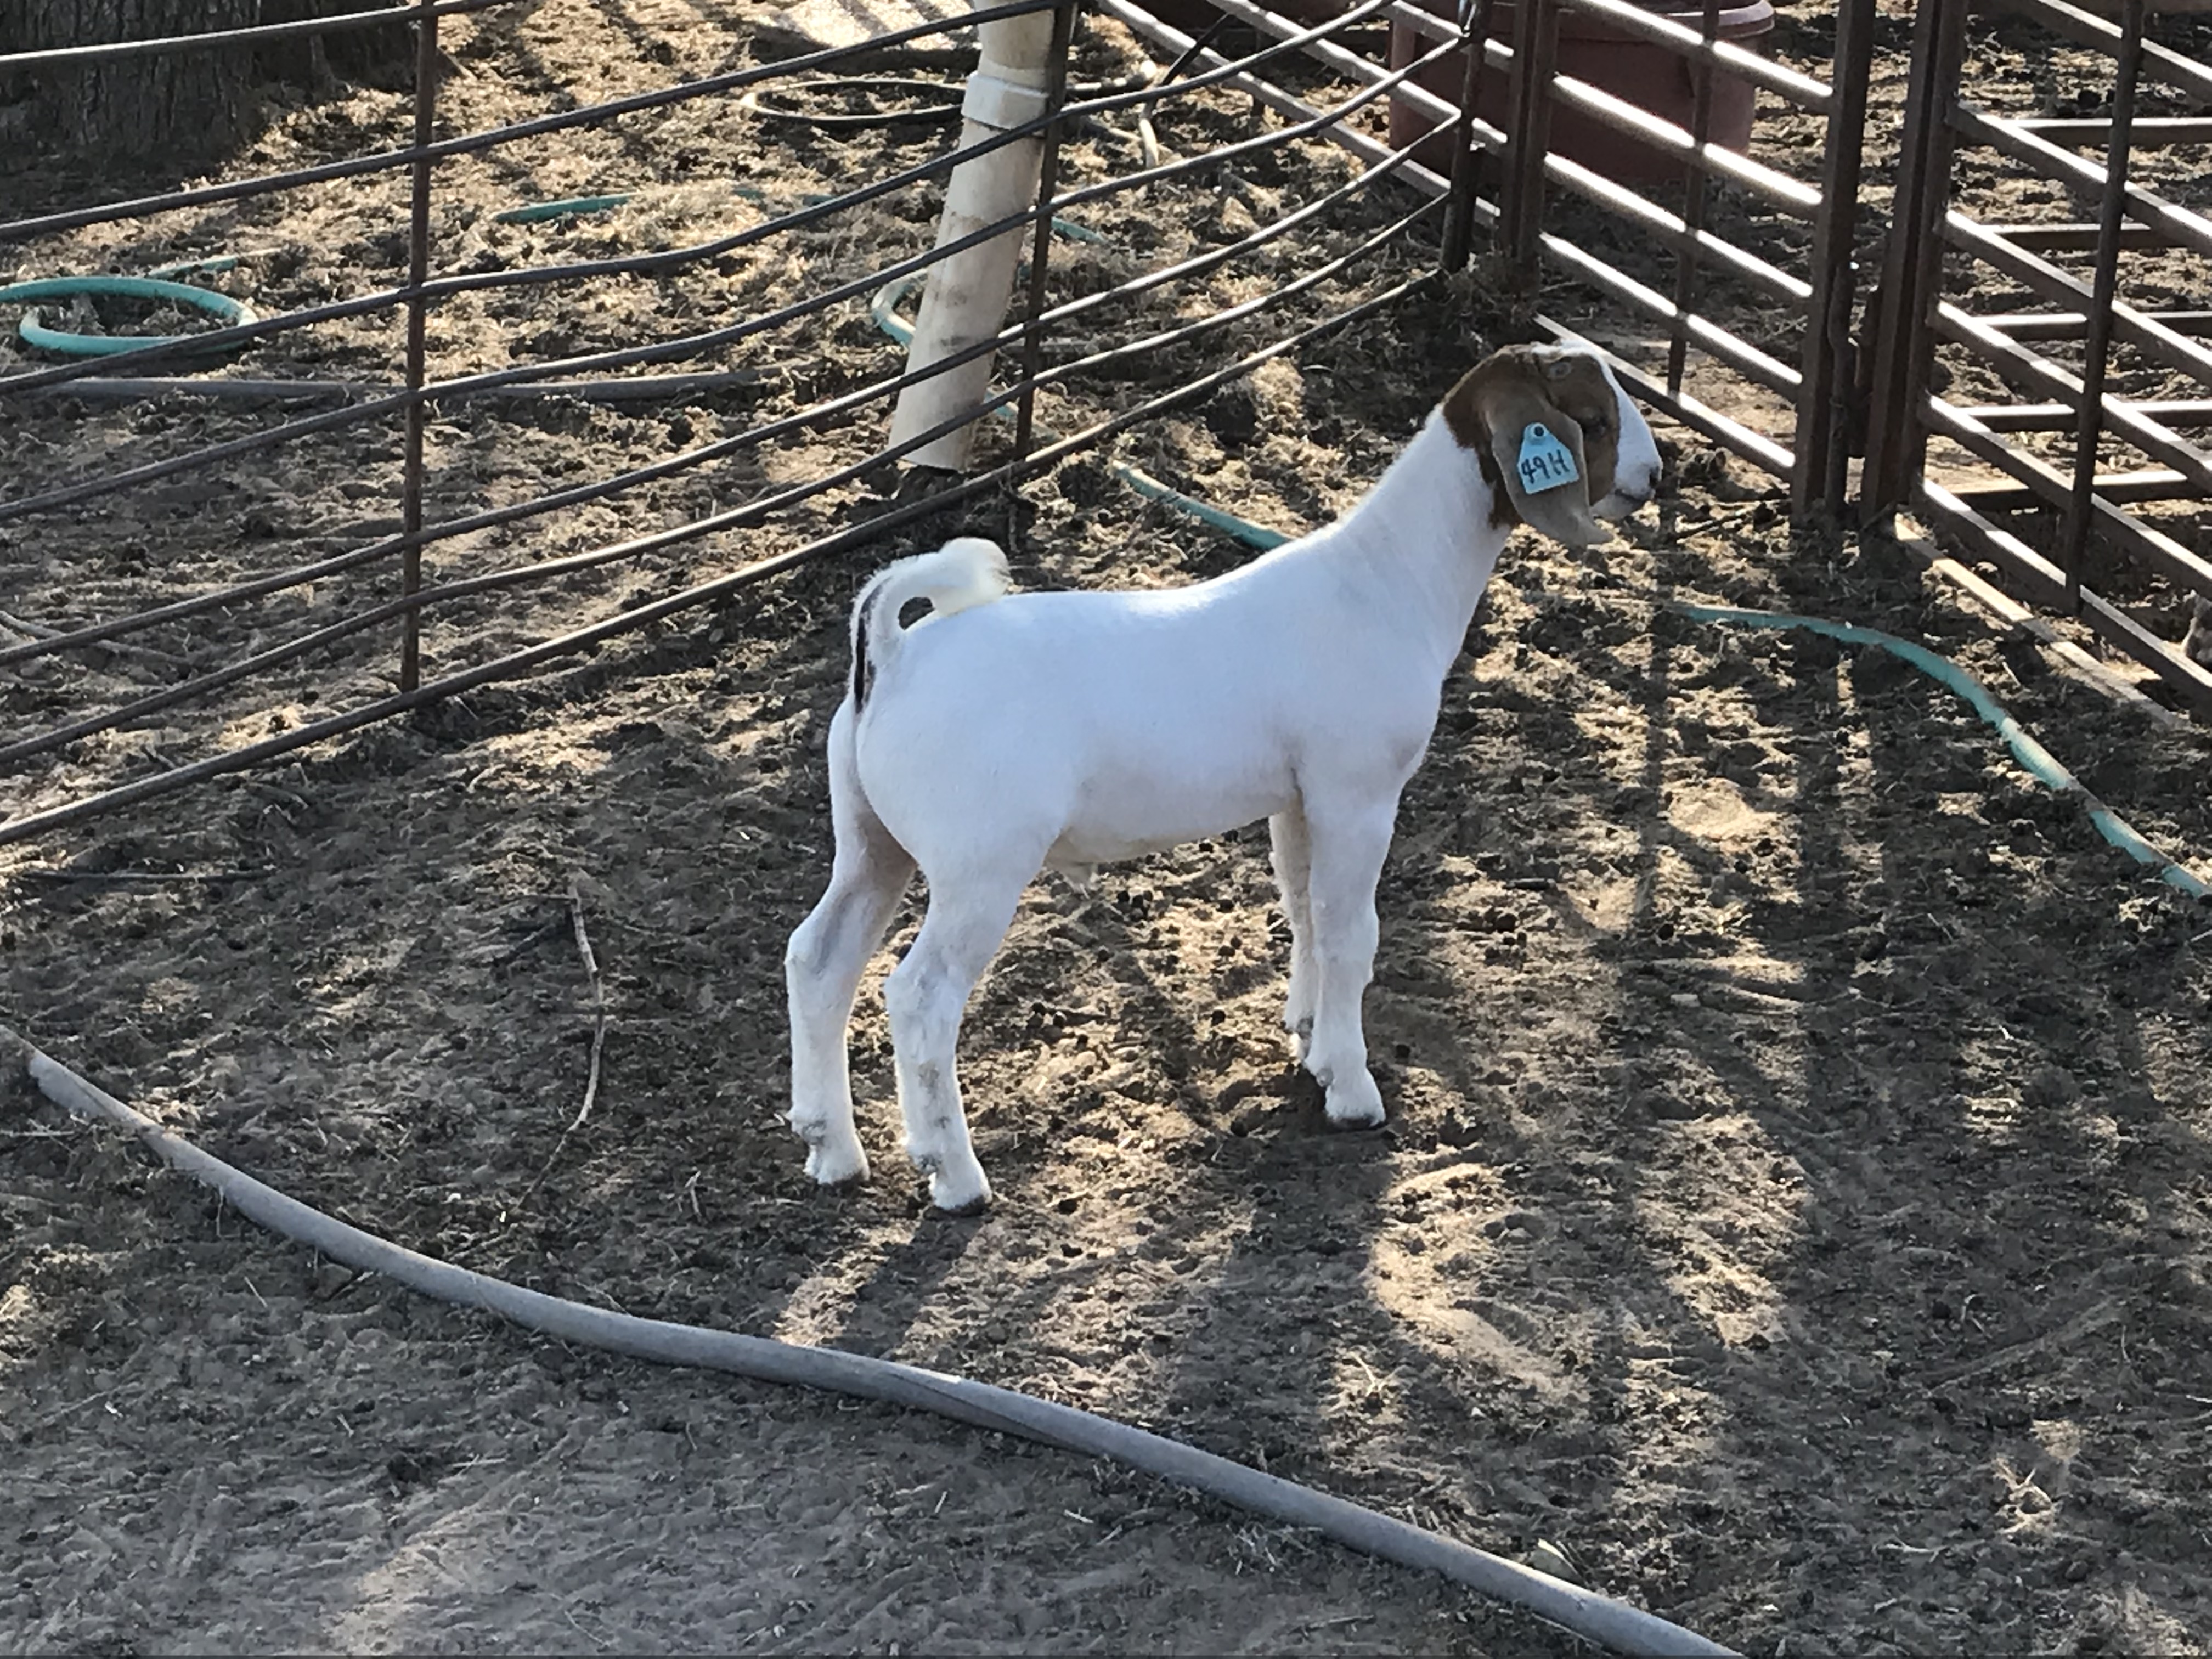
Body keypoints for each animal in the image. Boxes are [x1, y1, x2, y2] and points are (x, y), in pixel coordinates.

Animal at [785, 342, 1663, 1212]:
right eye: (1590, 420)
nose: (1654, 476)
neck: (1383, 578)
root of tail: (894, 659)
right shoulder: (1359, 794)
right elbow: (1350, 935)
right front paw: (1353, 1092)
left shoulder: (1299, 799)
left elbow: (1305, 913)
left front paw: (1312, 1044)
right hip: (980, 864)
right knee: (921, 999)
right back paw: (956, 1176)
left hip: (872, 843)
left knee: (818, 959)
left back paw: (832, 1148)